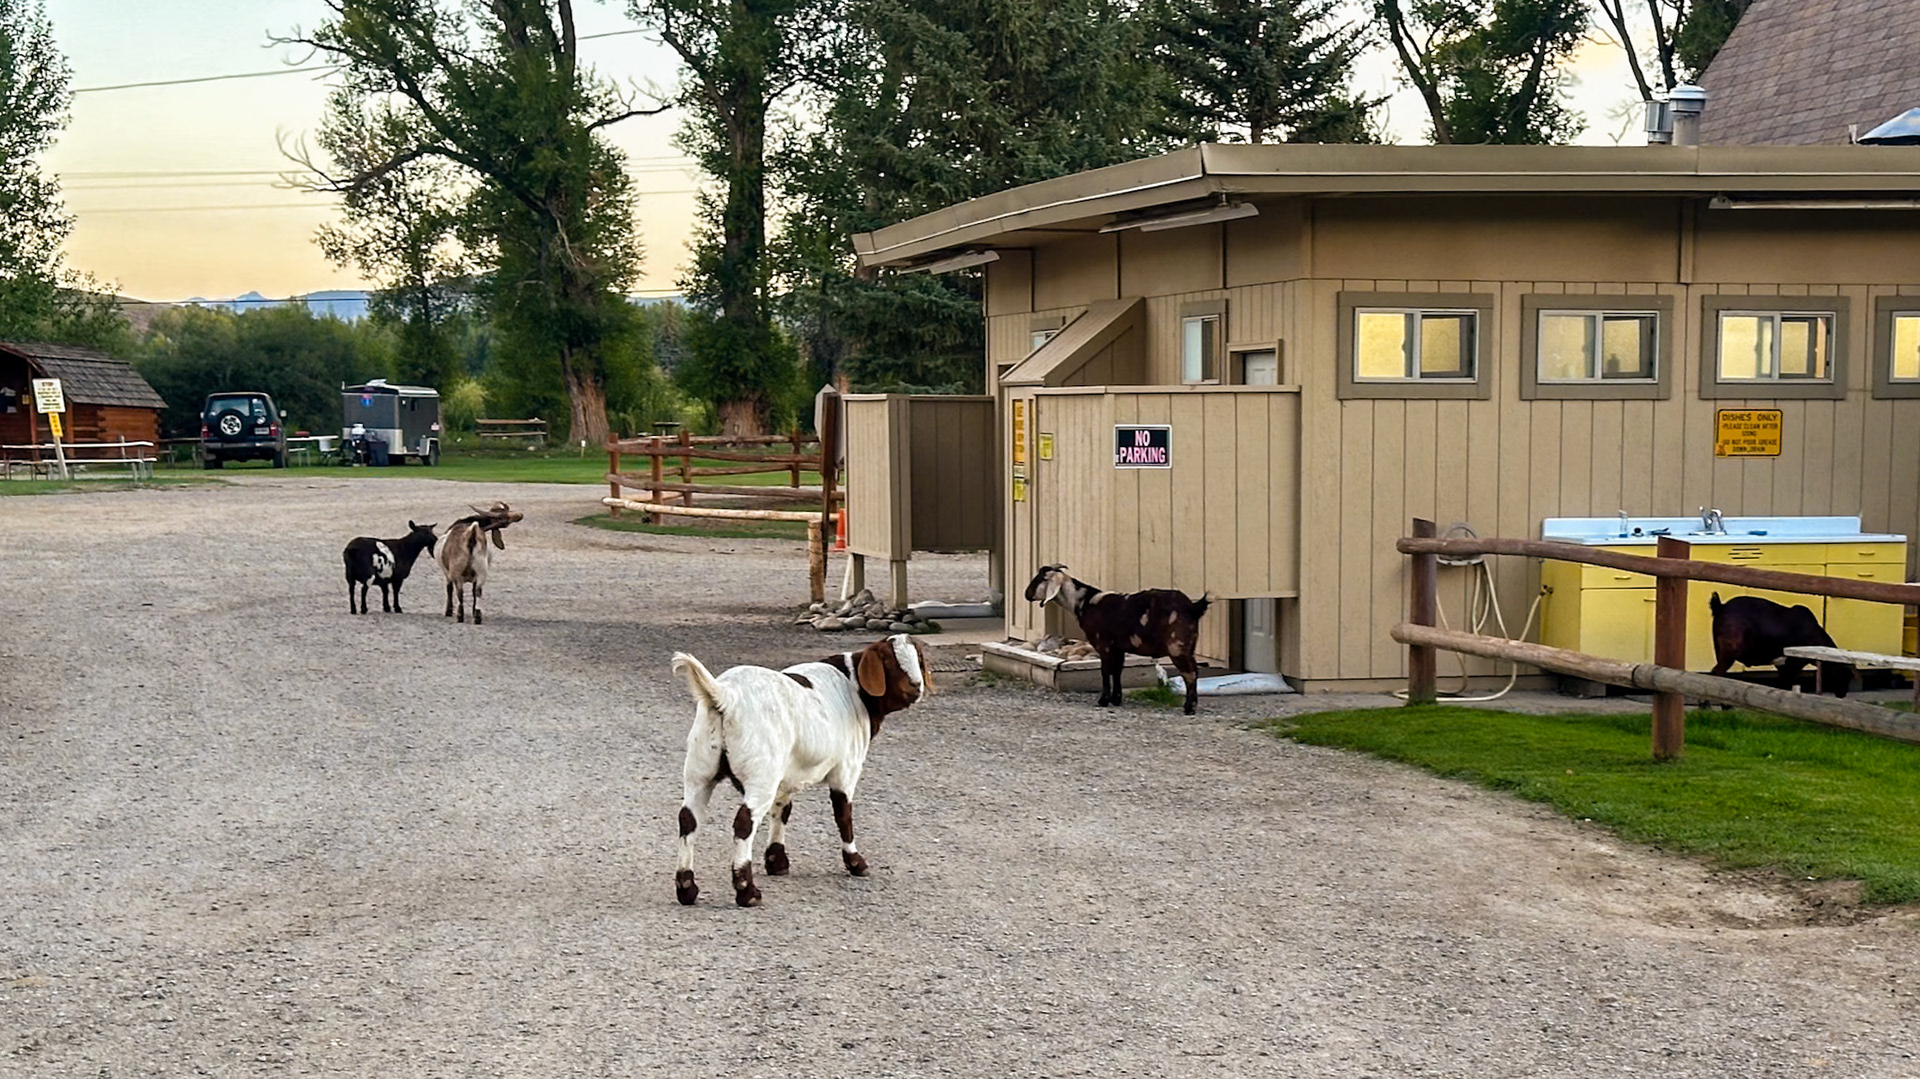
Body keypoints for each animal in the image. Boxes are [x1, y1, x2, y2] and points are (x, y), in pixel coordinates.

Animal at [670, 635, 932, 908]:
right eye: (889, 660)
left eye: (918, 658)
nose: (916, 686)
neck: (853, 685)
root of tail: (725, 696)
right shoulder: (846, 769)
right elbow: (844, 815)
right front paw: (856, 862)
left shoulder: (787, 776)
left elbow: (782, 810)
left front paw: (777, 861)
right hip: (761, 775)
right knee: (744, 822)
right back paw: (747, 891)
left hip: (700, 768)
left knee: (688, 818)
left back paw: (687, 888)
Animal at [1024, 564, 1212, 714]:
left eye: (1039, 579)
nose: (1026, 594)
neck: (1085, 602)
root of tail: (1194, 607)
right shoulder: (1118, 648)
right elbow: (1117, 671)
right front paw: (1116, 699)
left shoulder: (1104, 645)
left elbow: (1105, 671)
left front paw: (1103, 700)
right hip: (1188, 646)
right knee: (1194, 671)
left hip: (1177, 646)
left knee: (1190, 673)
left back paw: (1189, 708)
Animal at [1708, 592, 1854, 698]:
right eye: (1844, 674)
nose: (1842, 694)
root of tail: (1720, 607)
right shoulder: (1792, 664)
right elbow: (1786, 684)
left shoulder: (1782, 665)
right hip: (1728, 653)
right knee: (1718, 675)